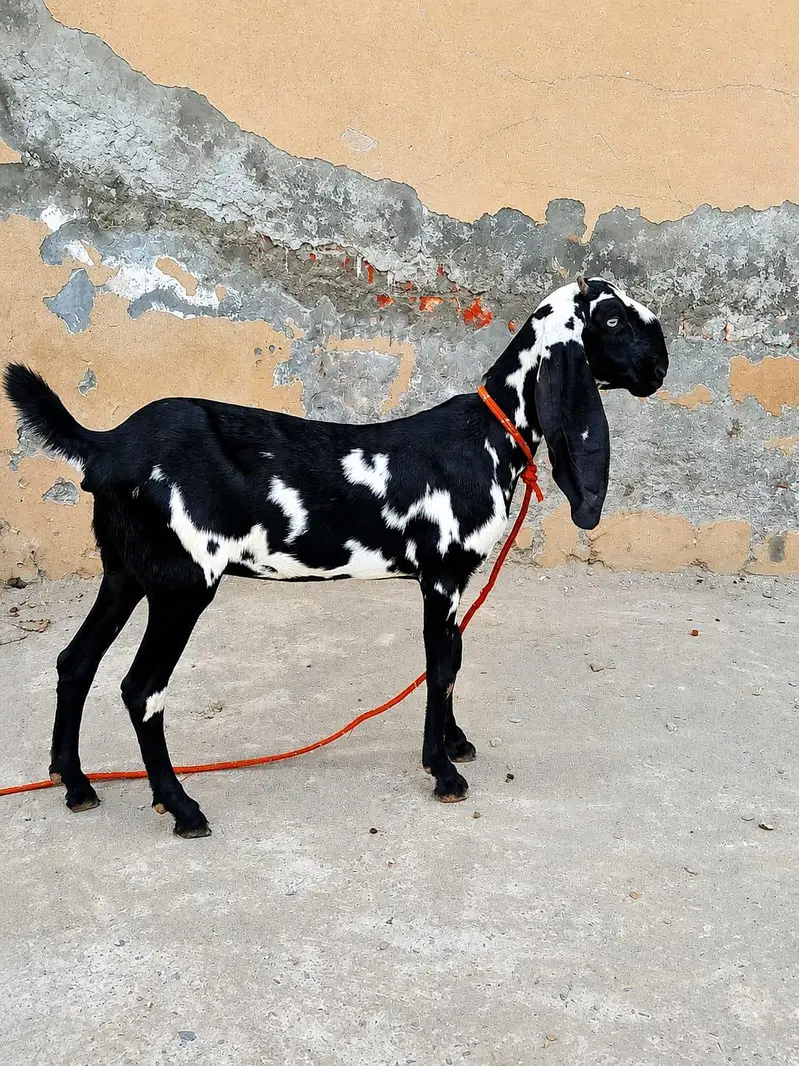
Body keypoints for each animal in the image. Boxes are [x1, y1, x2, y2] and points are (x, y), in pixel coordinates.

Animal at [4, 276, 668, 837]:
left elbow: (452, 660)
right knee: (142, 688)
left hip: (125, 573)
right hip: (182, 585)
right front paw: (443, 772)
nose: (660, 365)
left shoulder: (452, 584)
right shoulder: (441, 576)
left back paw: (75, 783)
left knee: (75, 661)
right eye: (611, 318)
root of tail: (109, 444)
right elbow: (440, 666)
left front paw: (454, 744)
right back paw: (183, 807)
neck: (487, 433)